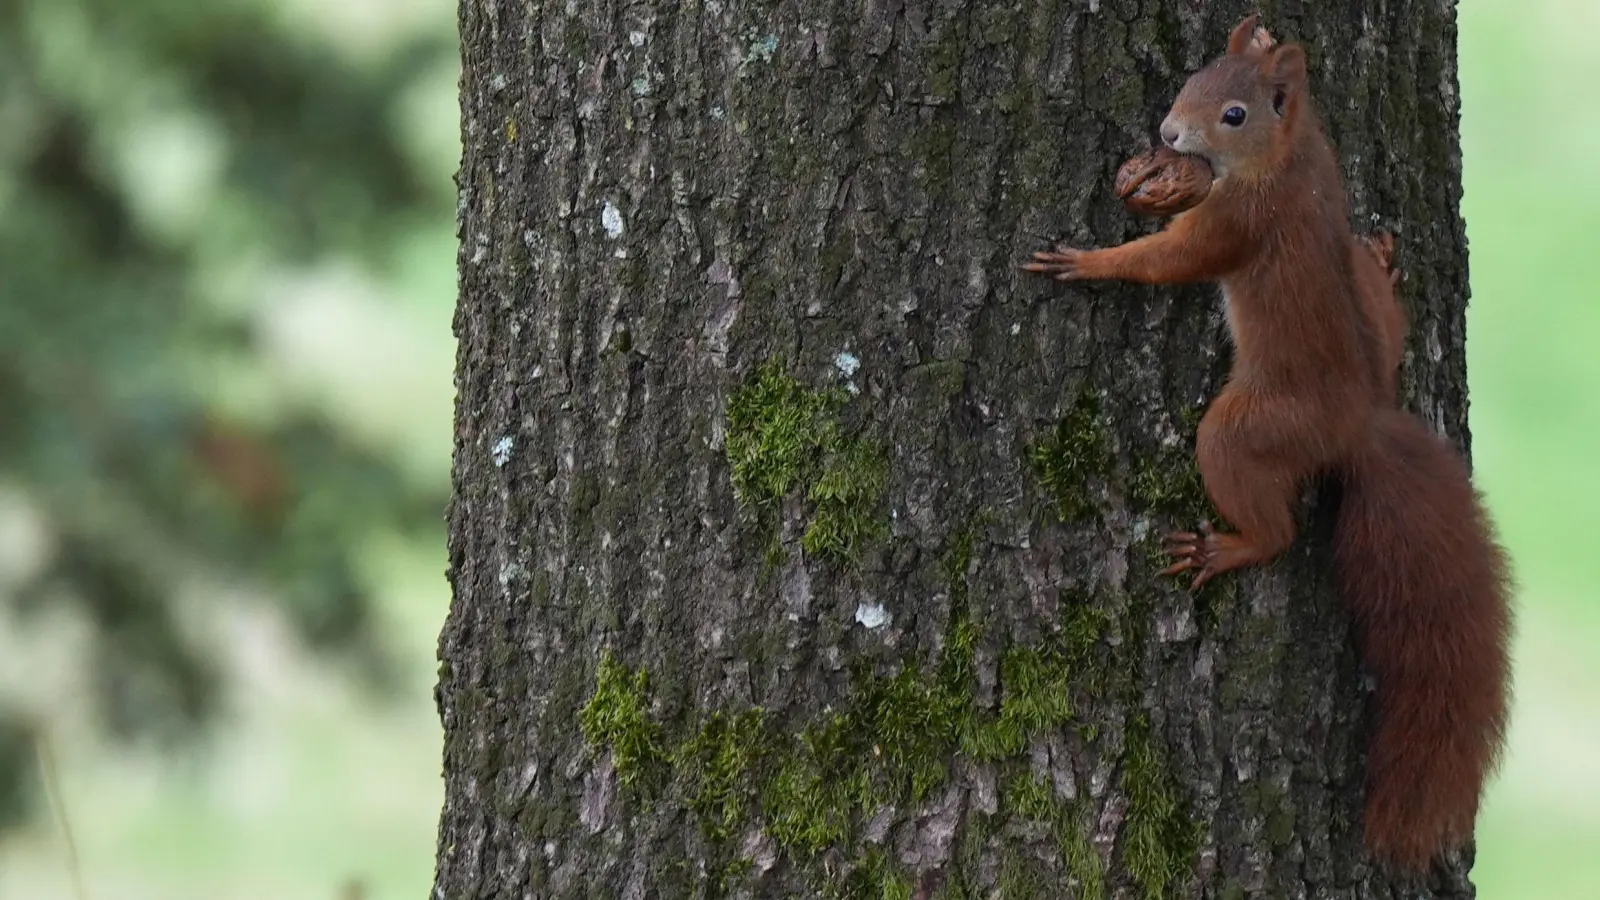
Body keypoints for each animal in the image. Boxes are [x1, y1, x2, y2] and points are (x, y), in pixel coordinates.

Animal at [1024, 12, 1510, 871]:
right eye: (1193, 77)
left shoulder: (1237, 223)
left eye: (1235, 114)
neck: (1287, 155)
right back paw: (1383, 263)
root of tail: (1358, 424)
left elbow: (1169, 259)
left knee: (1273, 524)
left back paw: (1230, 547)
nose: (1167, 133)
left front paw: (1089, 261)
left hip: (1248, 429)